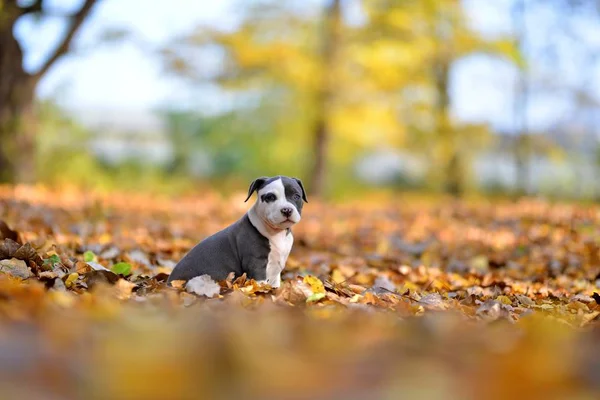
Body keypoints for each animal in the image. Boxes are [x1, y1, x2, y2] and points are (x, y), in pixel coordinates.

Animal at [169, 175, 310, 288]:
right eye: (270, 197)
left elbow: (275, 284)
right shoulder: (256, 263)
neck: (277, 233)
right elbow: (259, 283)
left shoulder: (276, 269)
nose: (286, 210)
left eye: (296, 196)